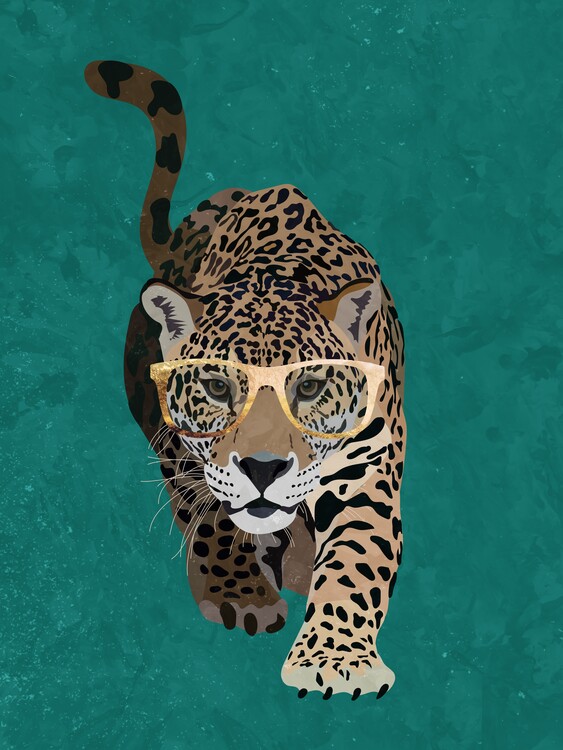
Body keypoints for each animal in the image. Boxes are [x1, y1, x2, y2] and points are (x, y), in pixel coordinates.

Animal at [84, 59, 406, 700]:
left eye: (308, 387)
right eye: (216, 387)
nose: (263, 469)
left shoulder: (367, 466)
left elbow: (356, 559)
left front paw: (335, 660)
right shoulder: (182, 447)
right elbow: (210, 514)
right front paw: (240, 594)